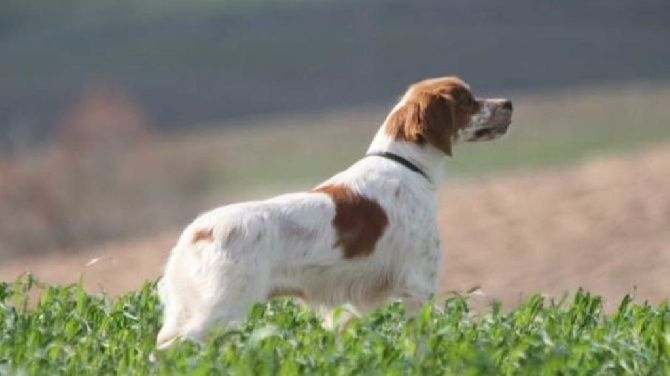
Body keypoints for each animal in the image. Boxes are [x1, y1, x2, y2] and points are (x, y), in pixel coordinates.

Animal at [158, 76, 516, 350]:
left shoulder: (346, 308)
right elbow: (419, 344)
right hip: (220, 310)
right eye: (467, 101)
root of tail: (198, 230)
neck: (405, 165)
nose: (509, 103)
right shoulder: (419, 286)